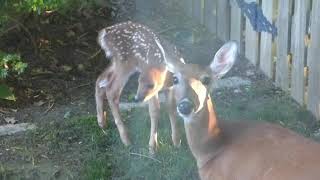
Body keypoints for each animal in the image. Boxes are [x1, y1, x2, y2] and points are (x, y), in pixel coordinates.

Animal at [94, 21, 182, 153]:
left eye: (152, 85)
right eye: (138, 81)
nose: (137, 98)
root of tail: (104, 33)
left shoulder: (169, 87)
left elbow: (171, 107)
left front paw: (176, 142)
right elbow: (155, 110)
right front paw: (152, 147)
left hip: (116, 62)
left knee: (100, 81)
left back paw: (101, 122)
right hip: (124, 63)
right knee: (111, 91)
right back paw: (126, 140)